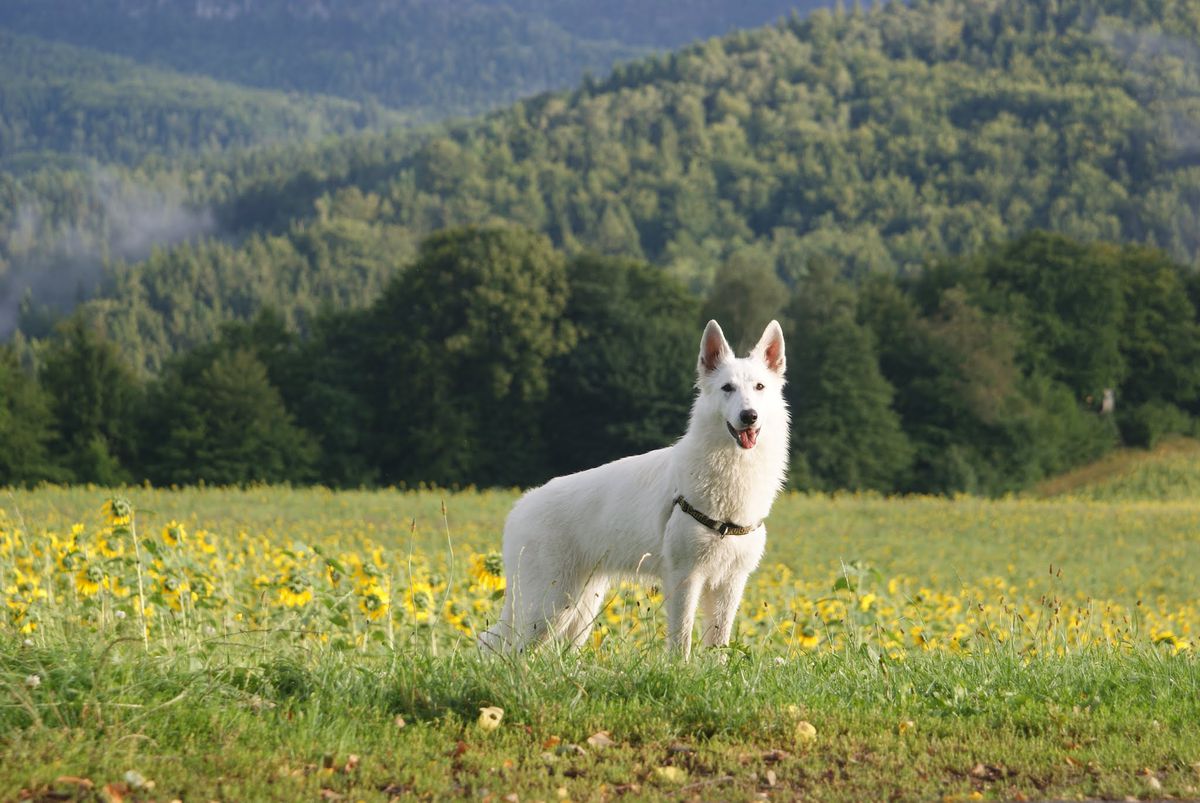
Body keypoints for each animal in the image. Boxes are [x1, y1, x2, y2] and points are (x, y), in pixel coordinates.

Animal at [477, 319, 787, 657]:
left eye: (759, 388)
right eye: (727, 388)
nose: (749, 416)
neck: (732, 474)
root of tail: (520, 506)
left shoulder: (731, 582)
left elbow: (718, 645)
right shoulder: (684, 577)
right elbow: (681, 641)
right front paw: (680, 669)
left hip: (579, 611)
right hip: (549, 608)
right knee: (509, 650)